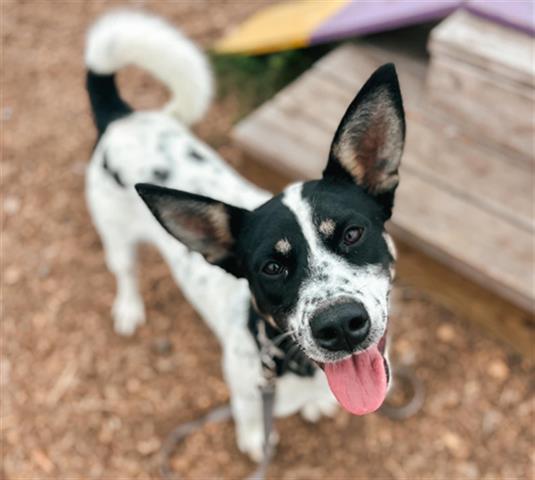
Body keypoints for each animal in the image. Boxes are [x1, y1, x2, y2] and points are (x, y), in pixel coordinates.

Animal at [84, 11, 404, 462]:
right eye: (271, 267)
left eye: (353, 234)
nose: (340, 325)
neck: (290, 363)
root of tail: (121, 119)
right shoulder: (245, 388)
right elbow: (250, 419)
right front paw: (256, 441)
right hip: (115, 234)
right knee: (125, 272)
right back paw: (129, 308)